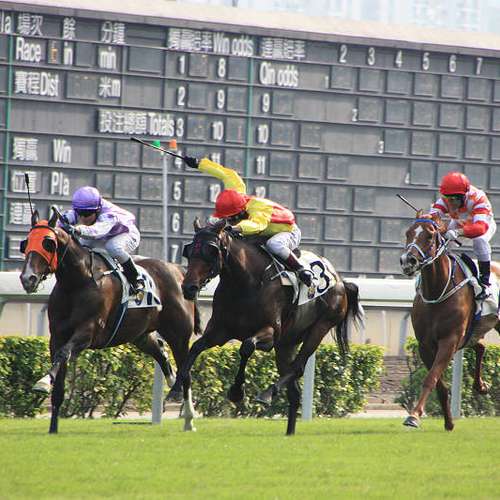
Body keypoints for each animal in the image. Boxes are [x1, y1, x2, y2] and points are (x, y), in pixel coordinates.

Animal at [19, 207, 201, 433]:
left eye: (48, 242)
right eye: (26, 242)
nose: (27, 279)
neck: (78, 282)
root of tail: (178, 271)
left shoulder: (88, 332)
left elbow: (63, 354)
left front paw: (43, 382)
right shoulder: (57, 336)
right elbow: (59, 377)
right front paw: (53, 427)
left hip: (179, 336)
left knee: (187, 372)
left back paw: (189, 419)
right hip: (140, 335)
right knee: (161, 354)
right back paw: (173, 386)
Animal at [167, 218, 364, 435]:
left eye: (211, 250)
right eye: (189, 251)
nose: (188, 287)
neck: (246, 282)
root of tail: (341, 281)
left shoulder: (270, 333)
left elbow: (247, 346)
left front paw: (237, 391)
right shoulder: (220, 331)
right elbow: (195, 348)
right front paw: (175, 389)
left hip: (320, 328)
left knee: (298, 367)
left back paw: (268, 393)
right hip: (286, 344)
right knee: (294, 391)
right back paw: (289, 433)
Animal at [400, 211, 499, 430]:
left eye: (429, 236)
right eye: (408, 233)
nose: (408, 261)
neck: (437, 290)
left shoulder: (449, 340)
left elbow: (430, 378)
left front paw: (414, 416)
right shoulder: (425, 345)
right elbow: (440, 384)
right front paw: (448, 422)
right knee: (480, 346)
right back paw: (481, 386)